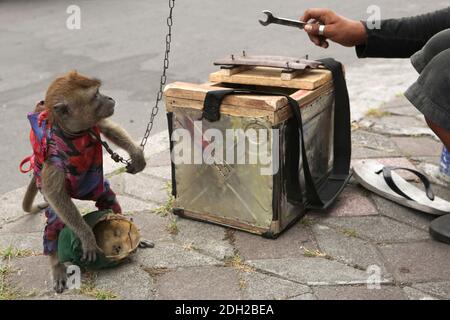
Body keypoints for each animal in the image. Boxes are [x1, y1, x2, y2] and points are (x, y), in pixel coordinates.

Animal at [21, 71, 146, 294]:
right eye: (96, 95)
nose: (110, 98)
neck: (74, 134)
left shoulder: (93, 124)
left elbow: (108, 128)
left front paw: (137, 155)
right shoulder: (53, 158)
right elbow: (55, 194)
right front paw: (87, 236)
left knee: (108, 197)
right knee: (54, 221)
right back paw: (56, 264)